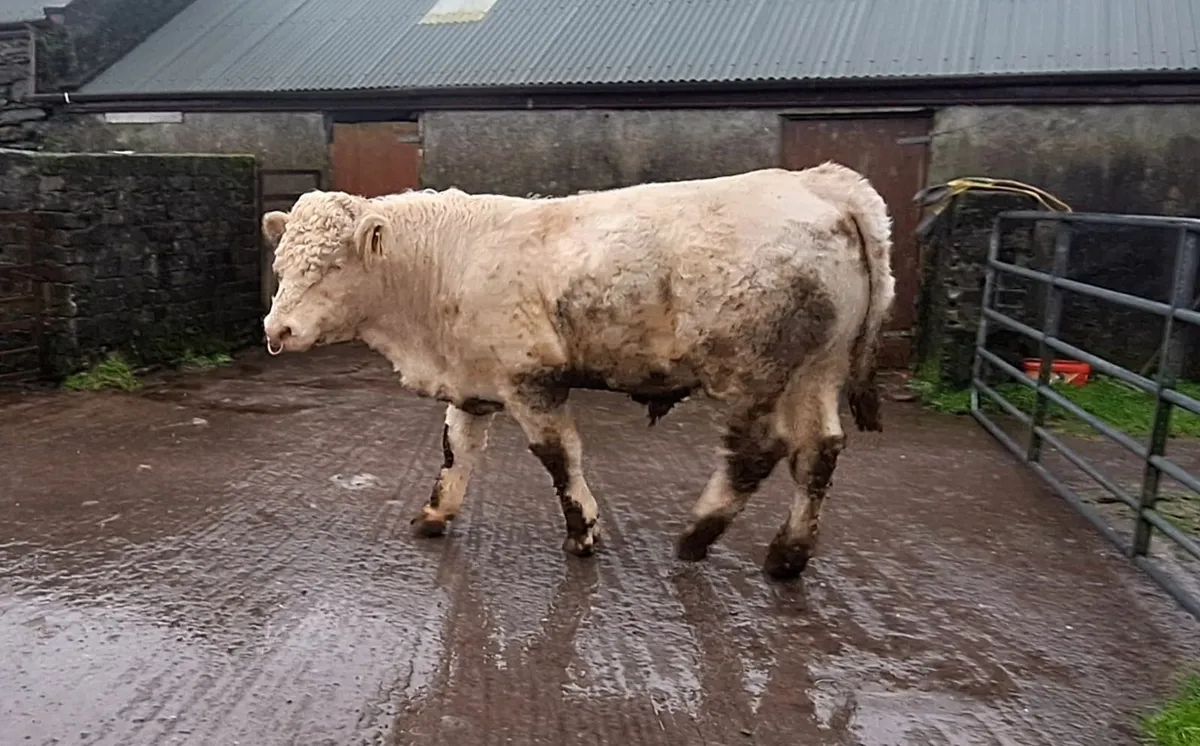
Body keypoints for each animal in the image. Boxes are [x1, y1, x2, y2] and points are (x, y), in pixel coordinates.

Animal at [261, 163, 895, 580]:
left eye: (331, 265)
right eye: (281, 264)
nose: (276, 329)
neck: (446, 263)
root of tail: (824, 183)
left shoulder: (531, 380)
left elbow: (558, 457)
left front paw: (583, 531)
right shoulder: (473, 378)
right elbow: (455, 449)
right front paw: (435, 513)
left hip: (750, 371)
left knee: (756, 452)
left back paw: (698, 535)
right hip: (817, 368)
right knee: (819, 450)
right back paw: (787, 555)